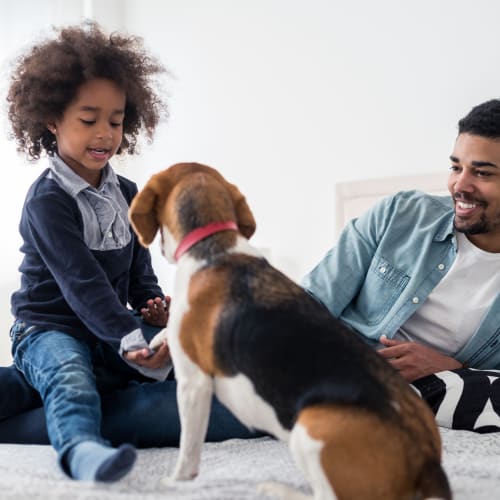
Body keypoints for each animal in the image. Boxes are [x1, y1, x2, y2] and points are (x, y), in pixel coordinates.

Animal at [127, 164, 452, 500]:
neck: (214, 243)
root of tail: (426, 460)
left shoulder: (193, 383)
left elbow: (188, 448)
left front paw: (175, 481)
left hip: (310, 428)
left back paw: (277, 488)